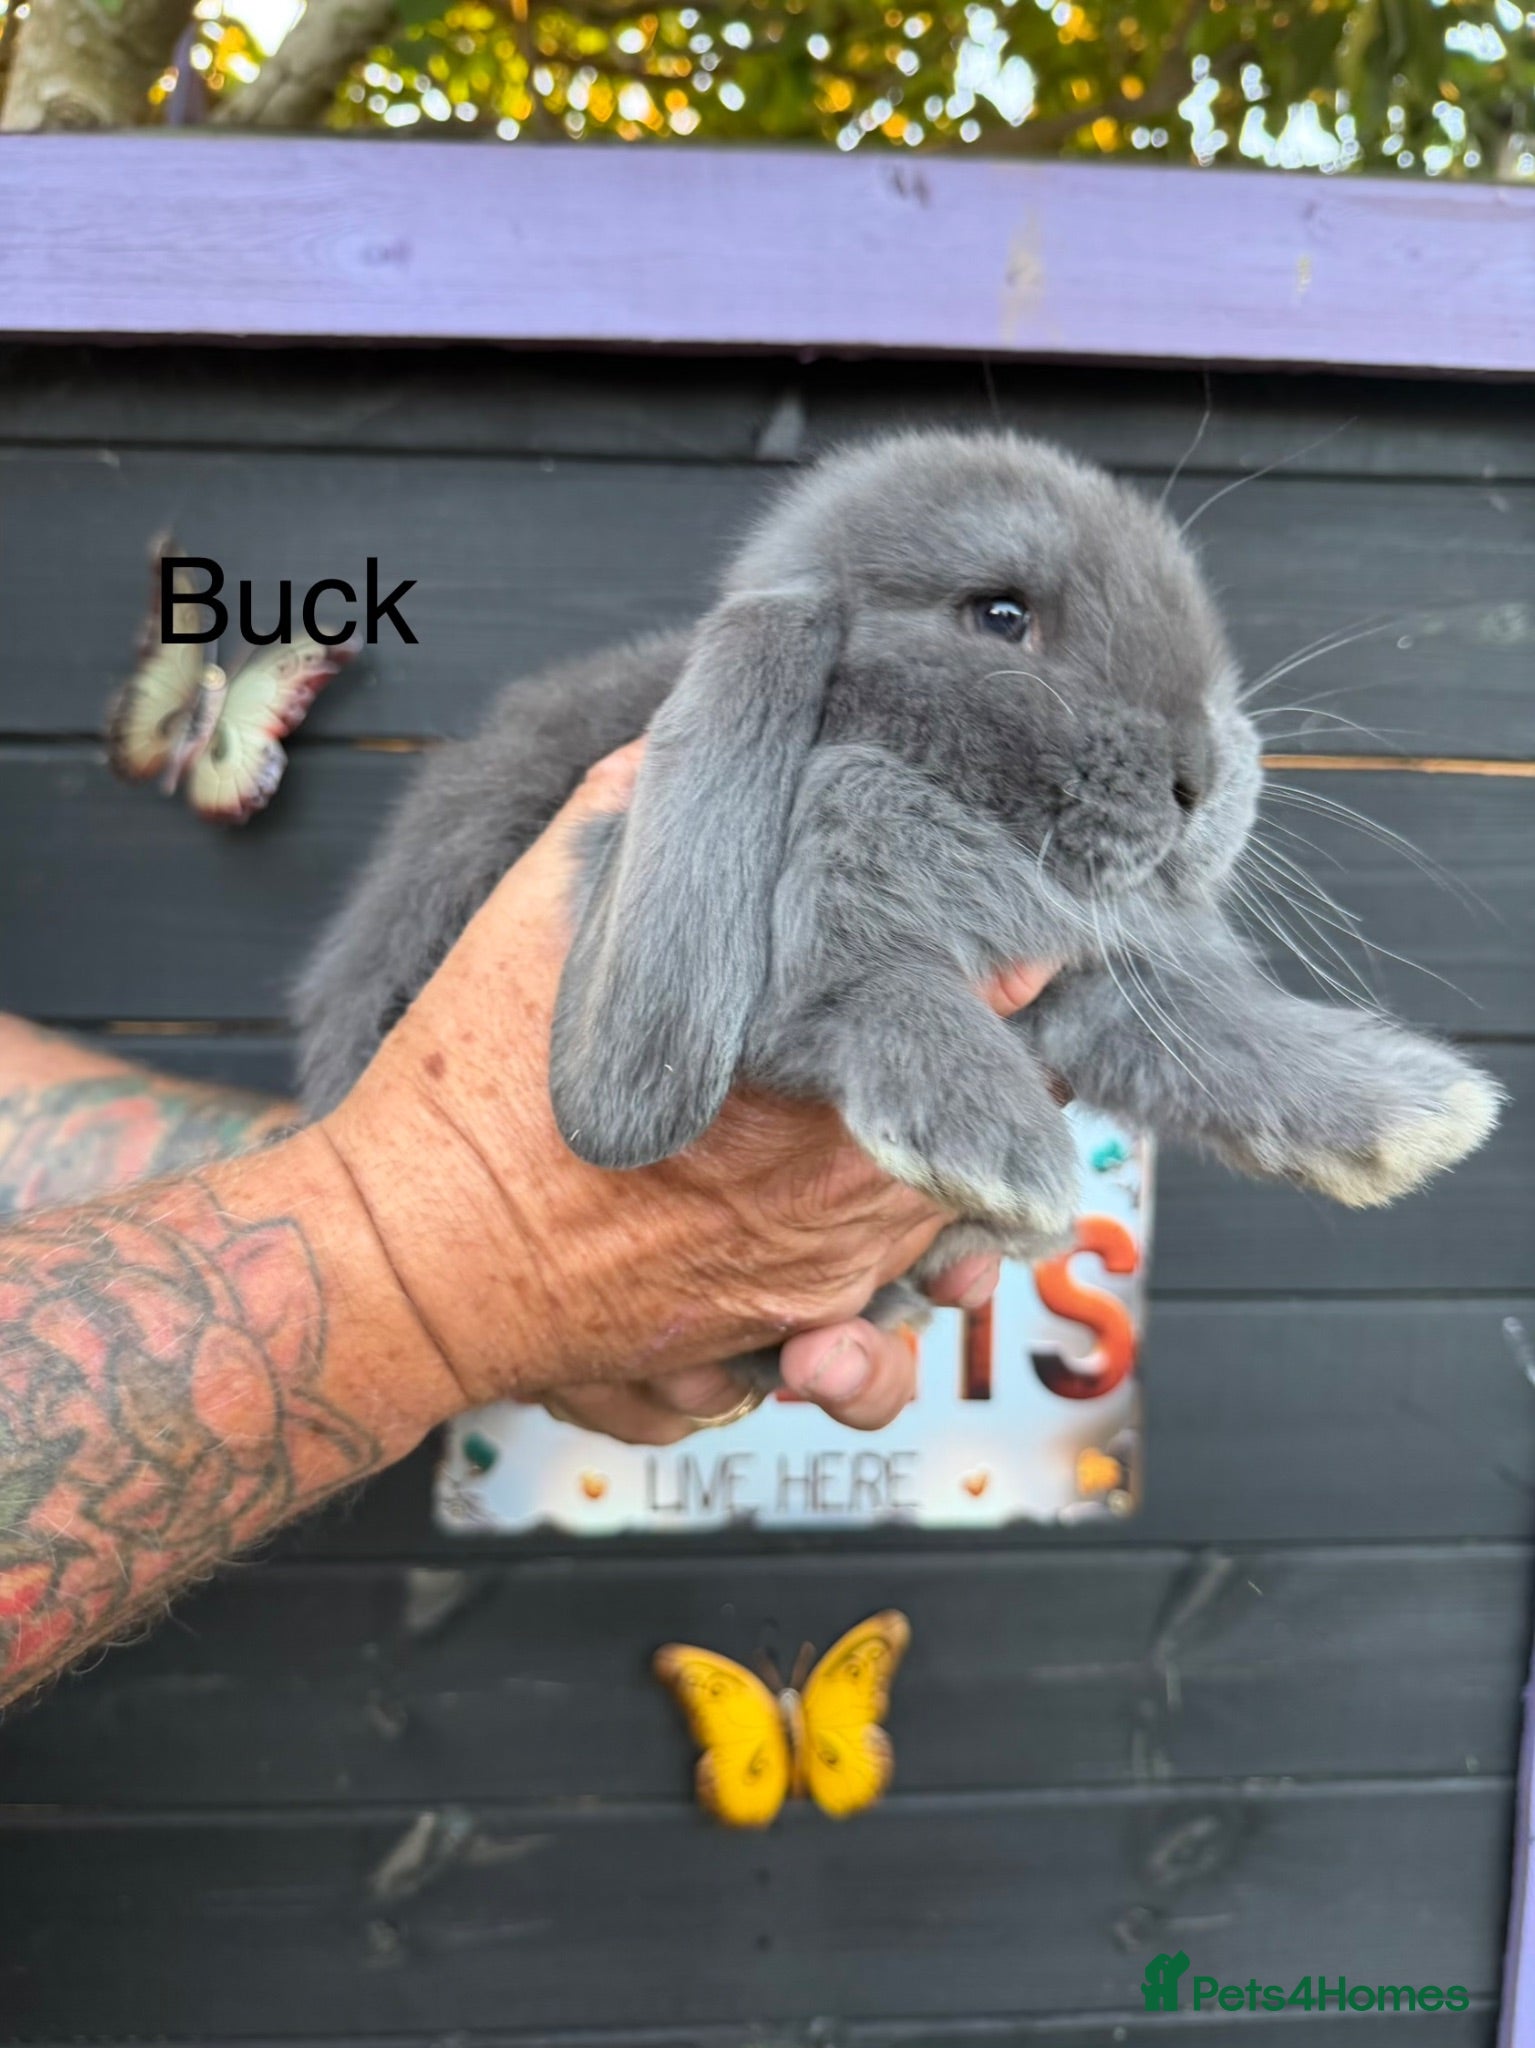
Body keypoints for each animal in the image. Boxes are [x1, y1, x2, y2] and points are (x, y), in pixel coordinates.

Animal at [295, 430, 1502, 1364]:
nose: (1200, 778)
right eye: (1000, 616)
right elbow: (866, 982)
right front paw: (990, 1149)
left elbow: (1216, 1033)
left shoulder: (1090, 983)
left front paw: (1410, 1116)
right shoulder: (794, 903)